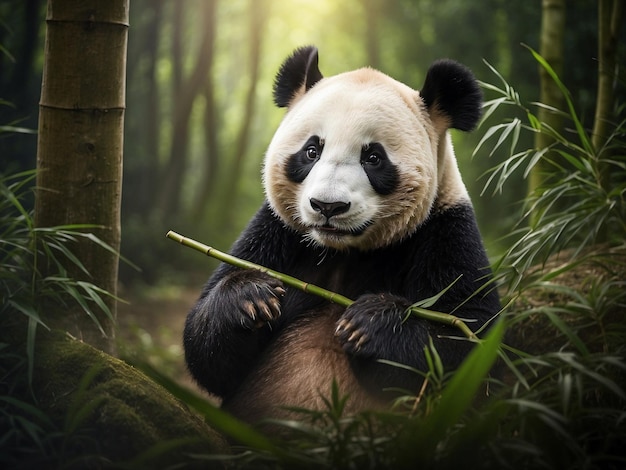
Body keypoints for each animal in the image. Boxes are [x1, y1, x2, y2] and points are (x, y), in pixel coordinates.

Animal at [183, 46, 500, 424]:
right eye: (311, 150)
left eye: (373, 157)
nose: (328, 206)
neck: (345, 251)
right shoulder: (276, 233)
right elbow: (207, 355)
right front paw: (250, 298)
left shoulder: (444, 231)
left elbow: (468, 345)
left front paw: (370, 325)